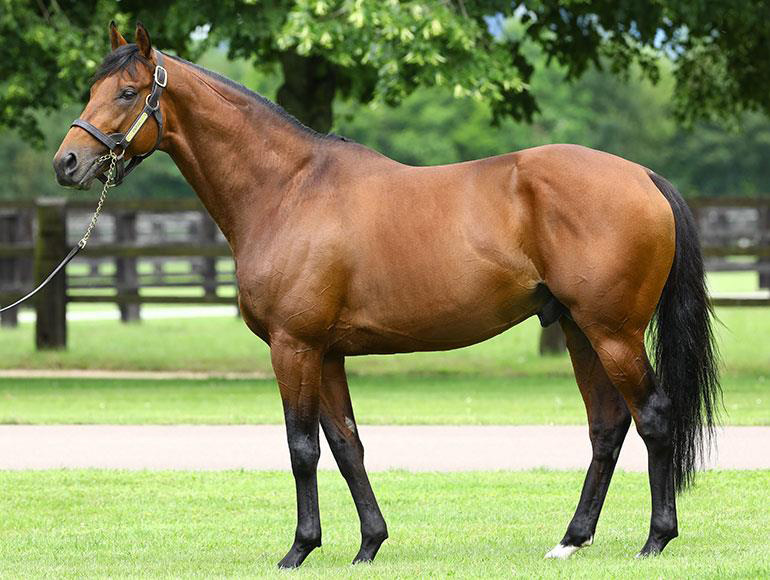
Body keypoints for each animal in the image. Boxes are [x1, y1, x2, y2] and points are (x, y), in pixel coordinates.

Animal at [55, 23, 720, 572]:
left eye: (127, 92)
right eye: (93, 86)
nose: (68, 162)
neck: (288, 189)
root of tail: (642, 176)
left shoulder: (293, 347)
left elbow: (301, 447)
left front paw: (299, 549)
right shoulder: (325, 352)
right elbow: (346, 444)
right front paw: (368, 544)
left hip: (613, 333)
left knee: (652, 416)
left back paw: (656, 540)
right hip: (579, 330)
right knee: (607, 425)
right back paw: (571, 540)